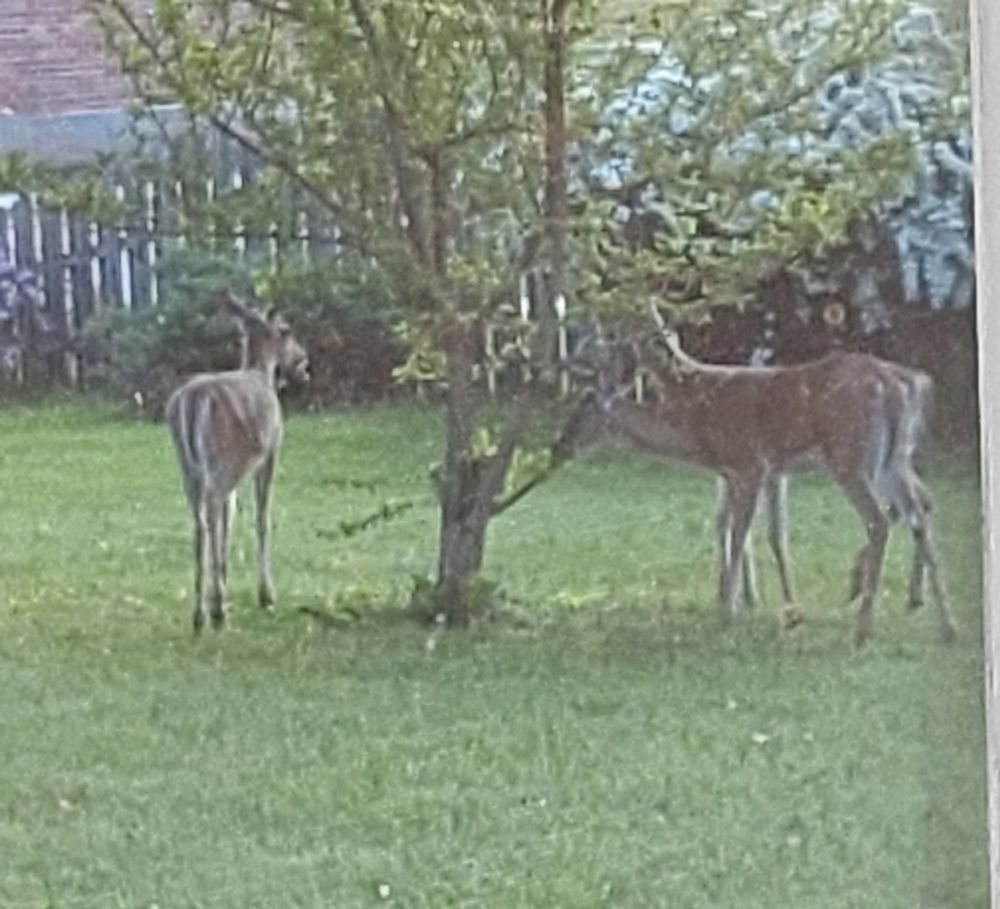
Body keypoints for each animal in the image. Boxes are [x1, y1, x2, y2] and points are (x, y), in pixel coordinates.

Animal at [165, 293, 309, 634]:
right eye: (286, 330)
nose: (304, 361)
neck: (261, 371)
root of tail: (192, 401)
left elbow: (229, 518)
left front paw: (225, 580)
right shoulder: (270, 452)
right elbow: (261, 518)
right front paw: (265, 594)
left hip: (189, 468)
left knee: (200, 522)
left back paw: (200, 612)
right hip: (219, 460)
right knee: (210, 515)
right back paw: (215, 610)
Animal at [555, 321, 956, 645]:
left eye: (585, 405)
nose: (560, 444)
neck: (697, 432)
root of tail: (904, 384)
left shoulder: (749, 466)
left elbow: (739, 535)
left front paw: (729, 612)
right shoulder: (746, 473)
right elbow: (740, 530)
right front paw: (751, 604)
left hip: (852, 458)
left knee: (880, 520)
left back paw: (863, 626)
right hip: (893, 461)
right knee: (919, 512)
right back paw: (946, 625)